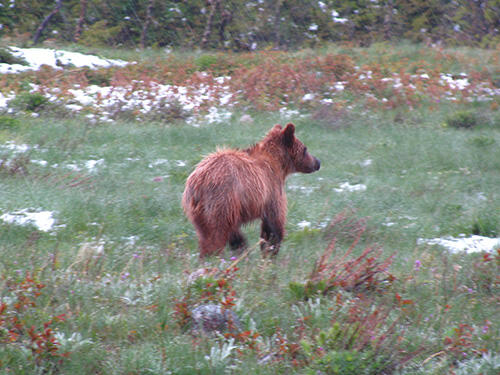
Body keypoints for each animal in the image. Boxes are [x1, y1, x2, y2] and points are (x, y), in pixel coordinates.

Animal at [183, 123, 320, 258]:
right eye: (305, 149)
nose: (317, 162)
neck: (278, 164)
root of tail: (198, 182)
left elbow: (237, 232)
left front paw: (243, 248)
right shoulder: (270, 189)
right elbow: (273, 223)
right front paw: (270, 250)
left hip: (197, 210)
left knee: (205, 232)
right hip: (222, 198)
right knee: (216, 233)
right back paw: (213, 256)